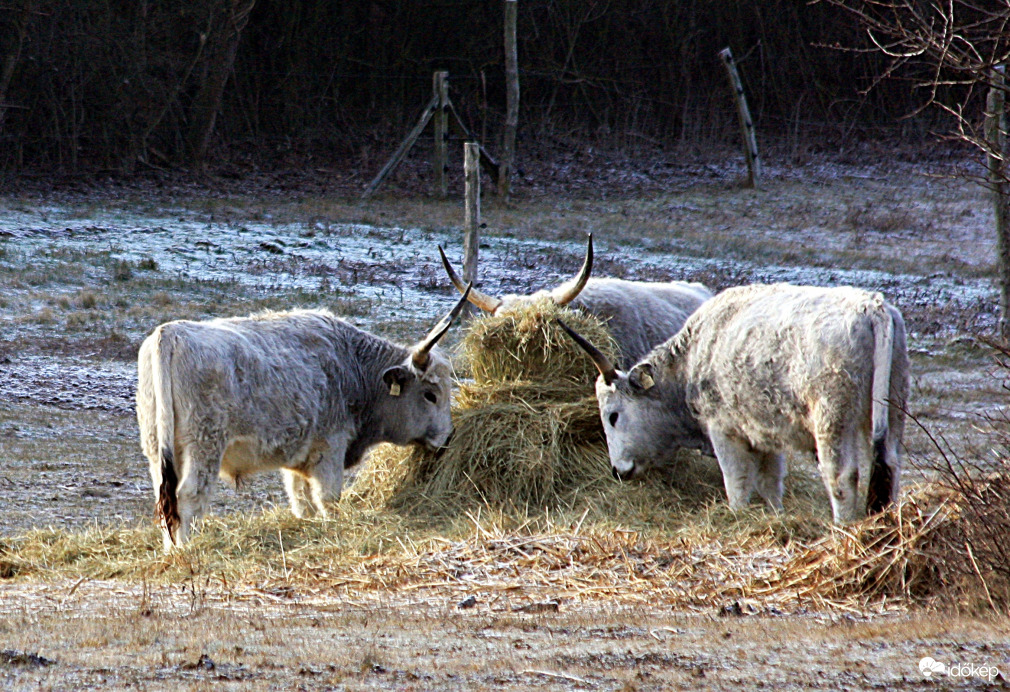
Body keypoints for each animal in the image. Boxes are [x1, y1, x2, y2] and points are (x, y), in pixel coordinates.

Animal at [134, 286, 472, 549]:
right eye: (431, 394)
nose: (448, 436)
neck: (351, 366)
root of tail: (171, 333)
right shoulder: (329, 448)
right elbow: (329, 499)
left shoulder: (298, 455)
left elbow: (301, 500)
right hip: (203, 448)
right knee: (187, 496)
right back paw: (183, 550)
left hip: (157, 449)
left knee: (165, 500)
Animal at [565, 282, 913, 521]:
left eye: (613, 415)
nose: (617, 471)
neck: (695, 356)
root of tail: (871, 307)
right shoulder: (765, 438)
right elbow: (770, 483)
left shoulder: (724, 432)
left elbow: (737, 483)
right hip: (892, 409)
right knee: (890, 466)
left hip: (833, 420)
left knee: (841, 476)